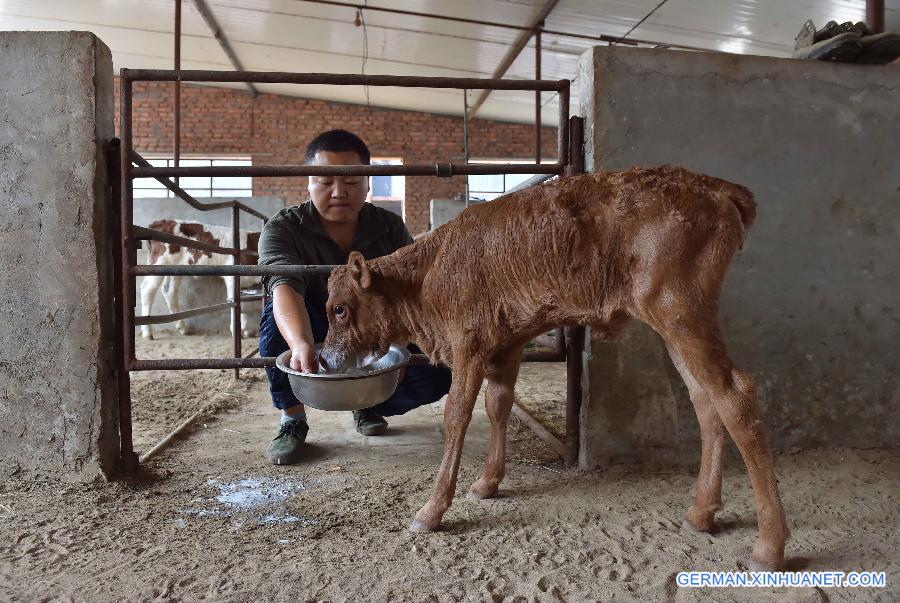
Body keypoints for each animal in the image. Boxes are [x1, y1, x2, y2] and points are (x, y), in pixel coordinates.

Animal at [320, 166, 792, 572]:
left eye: (339, 309)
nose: (324, 359)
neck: (429, 272)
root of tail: (718, 187)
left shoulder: (468, 346)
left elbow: (457, 415)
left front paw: (431, 510)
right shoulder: (506, 347)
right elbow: (498, 406)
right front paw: (487, 483)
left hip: (681, 313)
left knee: (735, 395)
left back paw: (769, 546)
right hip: (675, 327)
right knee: (704, 399)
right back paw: (700, 513)